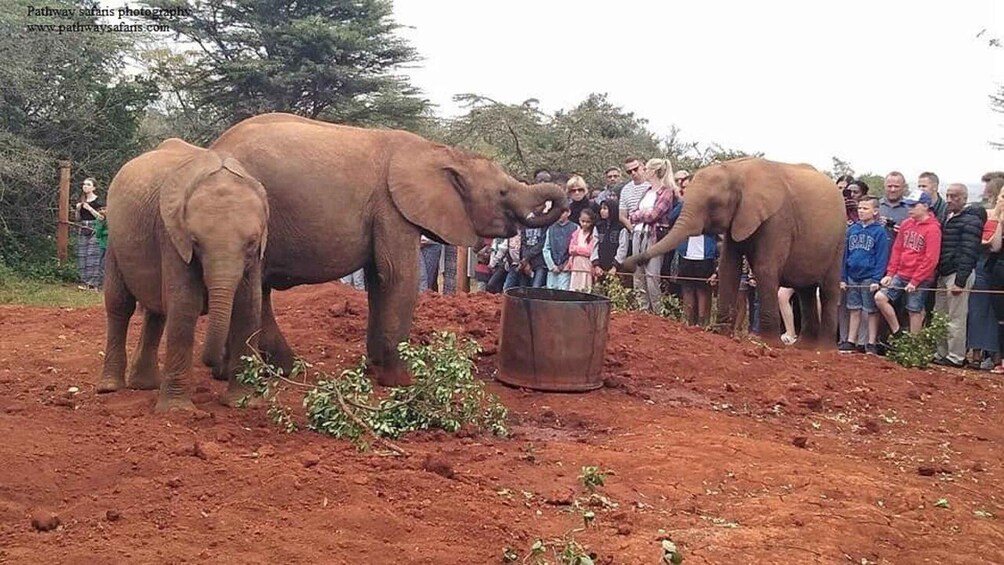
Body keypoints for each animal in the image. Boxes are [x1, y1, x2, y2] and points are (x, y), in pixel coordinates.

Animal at [96, 138, 270, 411]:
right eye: (195, 242)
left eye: (251, 243)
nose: (213, 365)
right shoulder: (172, 236)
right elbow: (185, 304)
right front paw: (177, 411)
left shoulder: (255, 258)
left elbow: (248, 307)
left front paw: (244, 403)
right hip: (114, 240)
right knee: (119, 306)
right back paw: (110, 388)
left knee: (157, 310)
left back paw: (145, 385)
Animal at [208, 112, 568, 387]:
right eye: (503, 192)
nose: (565, 205)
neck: (444, 153)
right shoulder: (393, 208)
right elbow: (398, 277)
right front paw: (402, 383)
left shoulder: (383, 213)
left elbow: (378, 280)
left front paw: (374, 370)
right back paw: (266, 372)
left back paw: (257, 371)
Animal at [622, 157, 845, 346]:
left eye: (713, 204)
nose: (627, 264)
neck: (737, 170)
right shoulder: (738, 218)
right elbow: (728, 266)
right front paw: (719, 332)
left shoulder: (778, 219)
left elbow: (764, 269)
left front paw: (768, 343)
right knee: (806, 290)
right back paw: (805, 347)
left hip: (838, 240)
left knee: (828, 289)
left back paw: (823, 349)